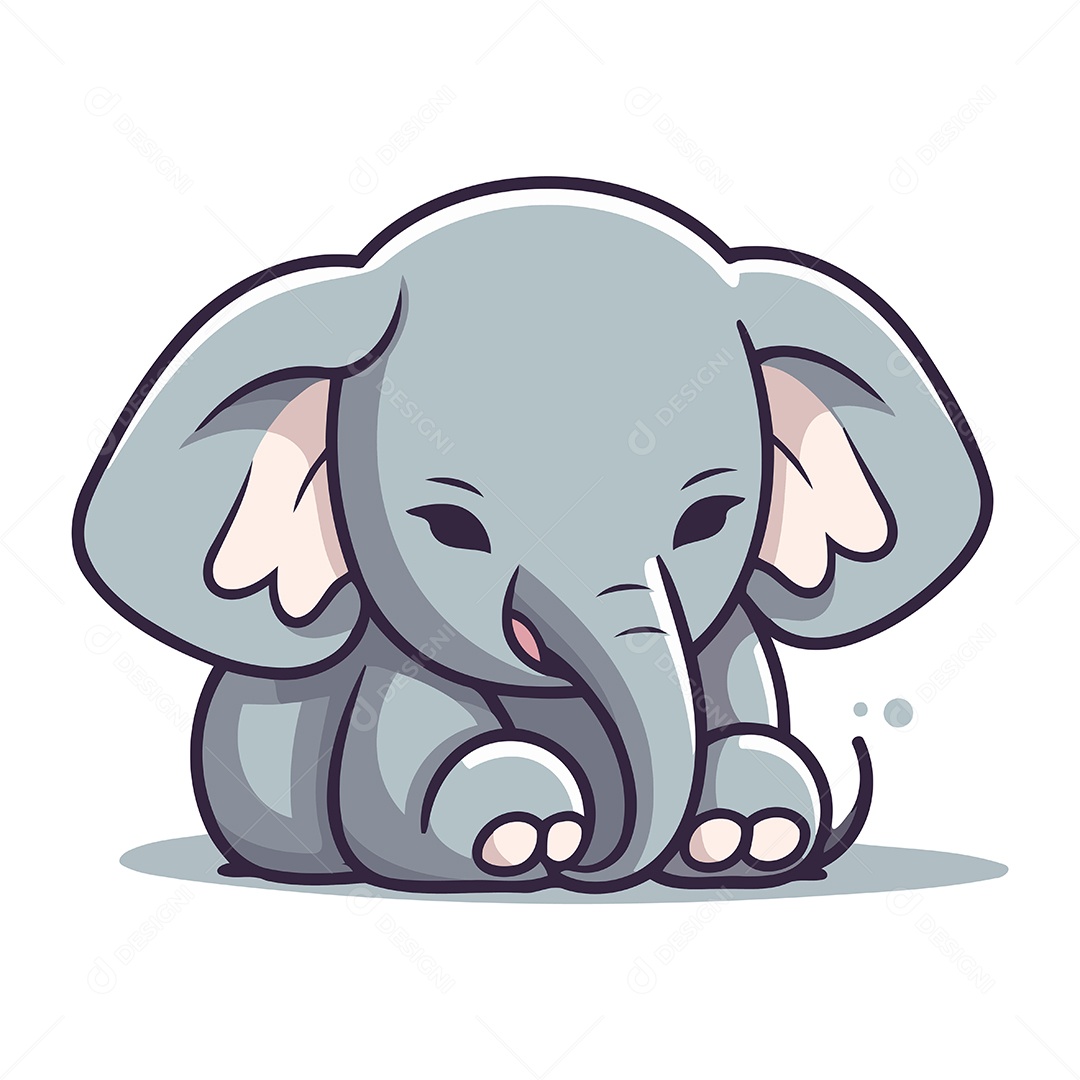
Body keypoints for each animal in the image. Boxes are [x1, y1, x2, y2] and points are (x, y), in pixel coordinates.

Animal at [73, 177, 992, 894]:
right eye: (450, 528)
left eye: (709, 520)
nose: (589, 860)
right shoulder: (391, 665)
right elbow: (390, 795)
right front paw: (525, 832)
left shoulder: (727, 642)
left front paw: (748, 830)